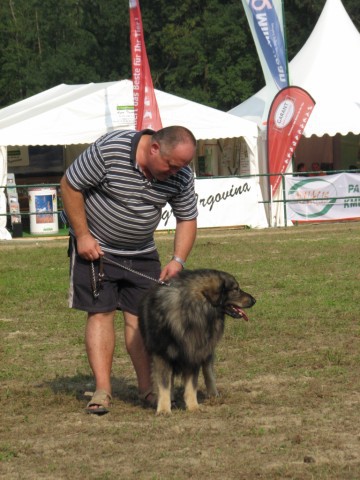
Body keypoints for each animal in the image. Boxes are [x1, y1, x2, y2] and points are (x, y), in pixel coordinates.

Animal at [139, 268, 256, 414]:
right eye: (236, 289)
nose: (254, 300)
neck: (191, 311)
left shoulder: (194, 354)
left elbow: (191, 385)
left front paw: (193, 407)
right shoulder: (162, 355)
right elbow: (164, 384)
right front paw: (164, 409)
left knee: (208, 371)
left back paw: (213, 394)